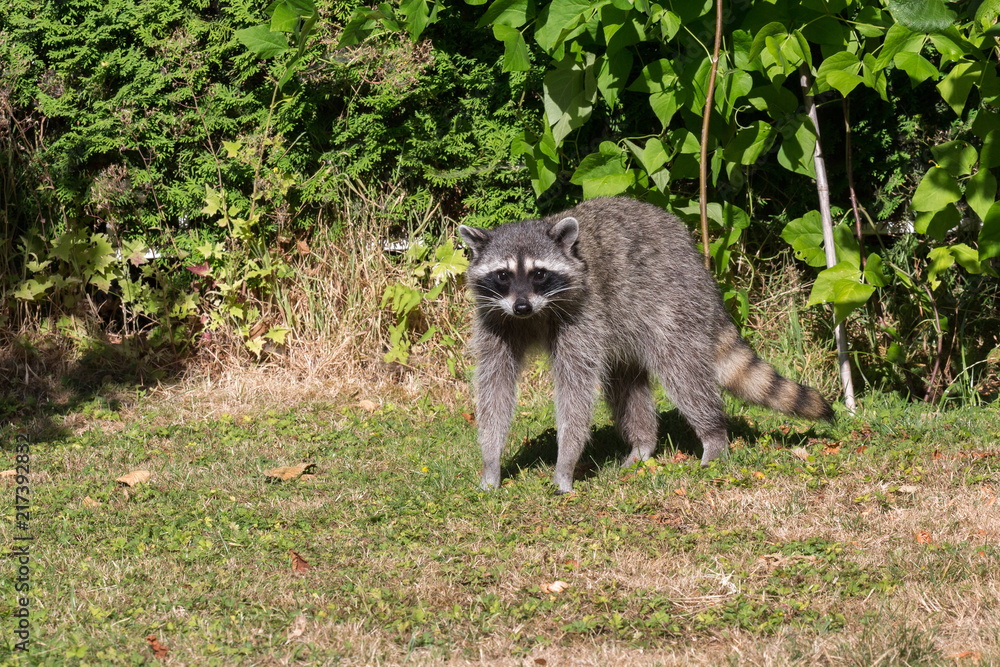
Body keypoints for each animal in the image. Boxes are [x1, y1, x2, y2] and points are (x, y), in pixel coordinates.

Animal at [458, 197, 834, 494]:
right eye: (503, 275)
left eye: (539, 273)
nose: (522, 306)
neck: (534, 314)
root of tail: (697, 264)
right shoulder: (497, 320)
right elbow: (494, 387)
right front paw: (491, 461)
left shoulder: (581, 315)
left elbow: (575, 390)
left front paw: (565, 463)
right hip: (626, 327)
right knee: (626, 383)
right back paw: (643, 443)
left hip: (673, 302)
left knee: (683, 374)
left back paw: (713, 434)